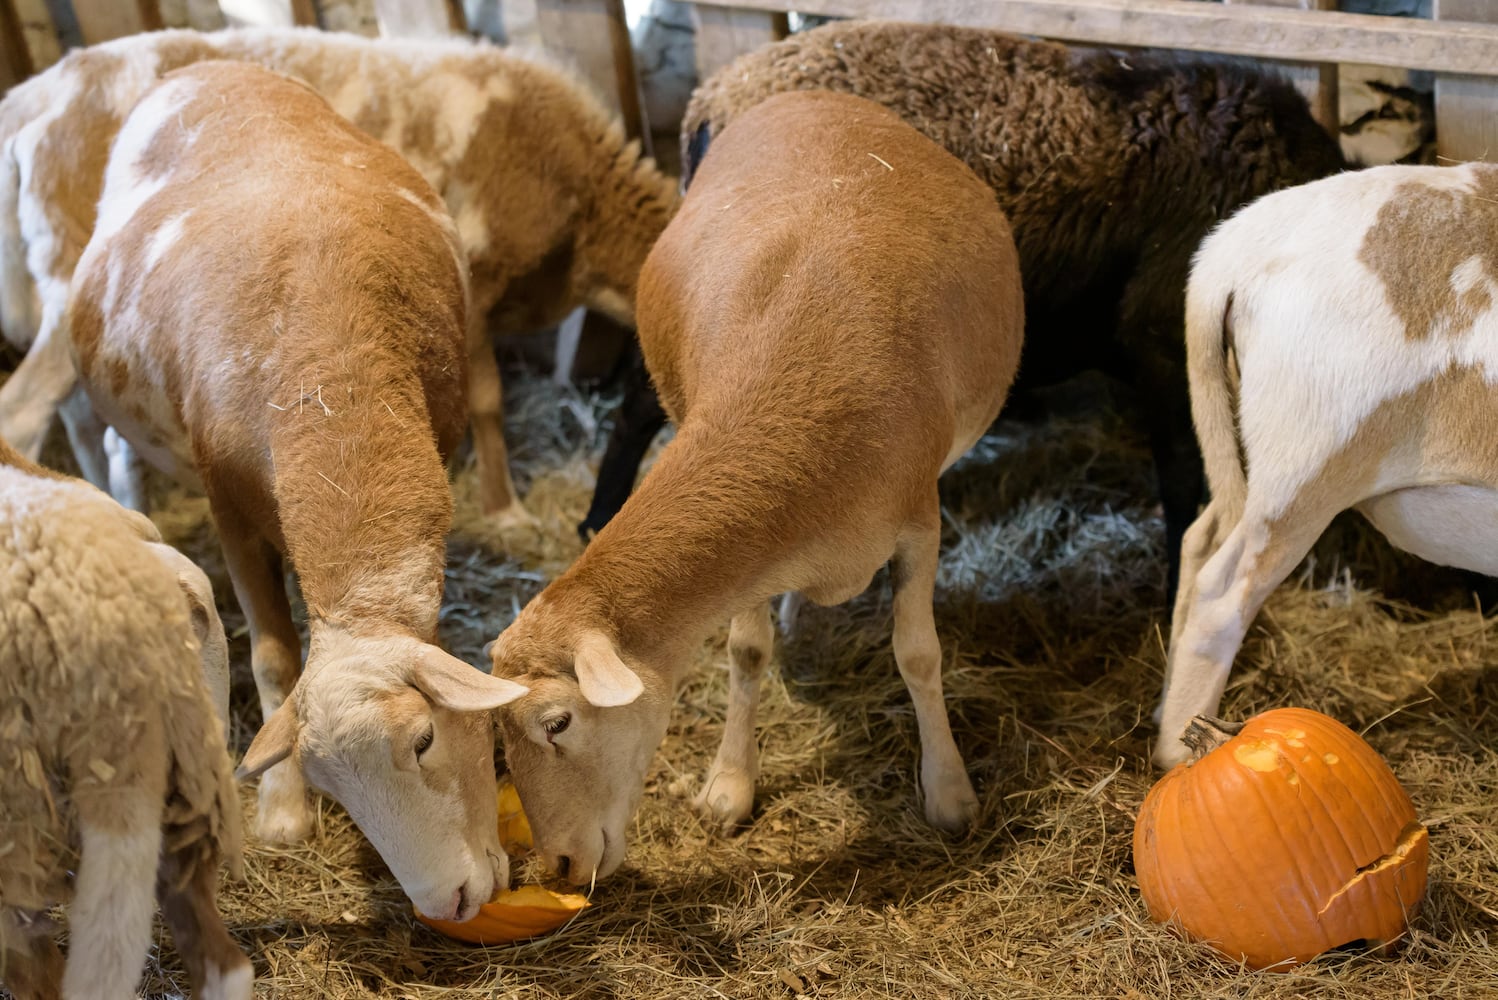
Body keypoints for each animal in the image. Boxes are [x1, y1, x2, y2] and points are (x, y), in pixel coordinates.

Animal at [65, 60, 533, 922]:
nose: (447, 902)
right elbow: (276, 657)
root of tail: (204, 67)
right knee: (114, 442)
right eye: (334, 789)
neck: (333, 370)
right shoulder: (227, 503)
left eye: (423, 740)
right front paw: (283, 810)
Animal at [485, 87, 1024, 880]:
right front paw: (729, 785)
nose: (554, 868)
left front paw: (950, 792)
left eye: (557, 721)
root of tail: (813, 96)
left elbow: (918, 654)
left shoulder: (920, 523)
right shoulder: (754, 555)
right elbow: (745, 651)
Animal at [1156, 162, 1498, 766]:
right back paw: (1181, 754)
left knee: (1198, 541)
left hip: (1252, 460)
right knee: (1220, 595)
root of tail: (1234, 243)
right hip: (1303, 471)